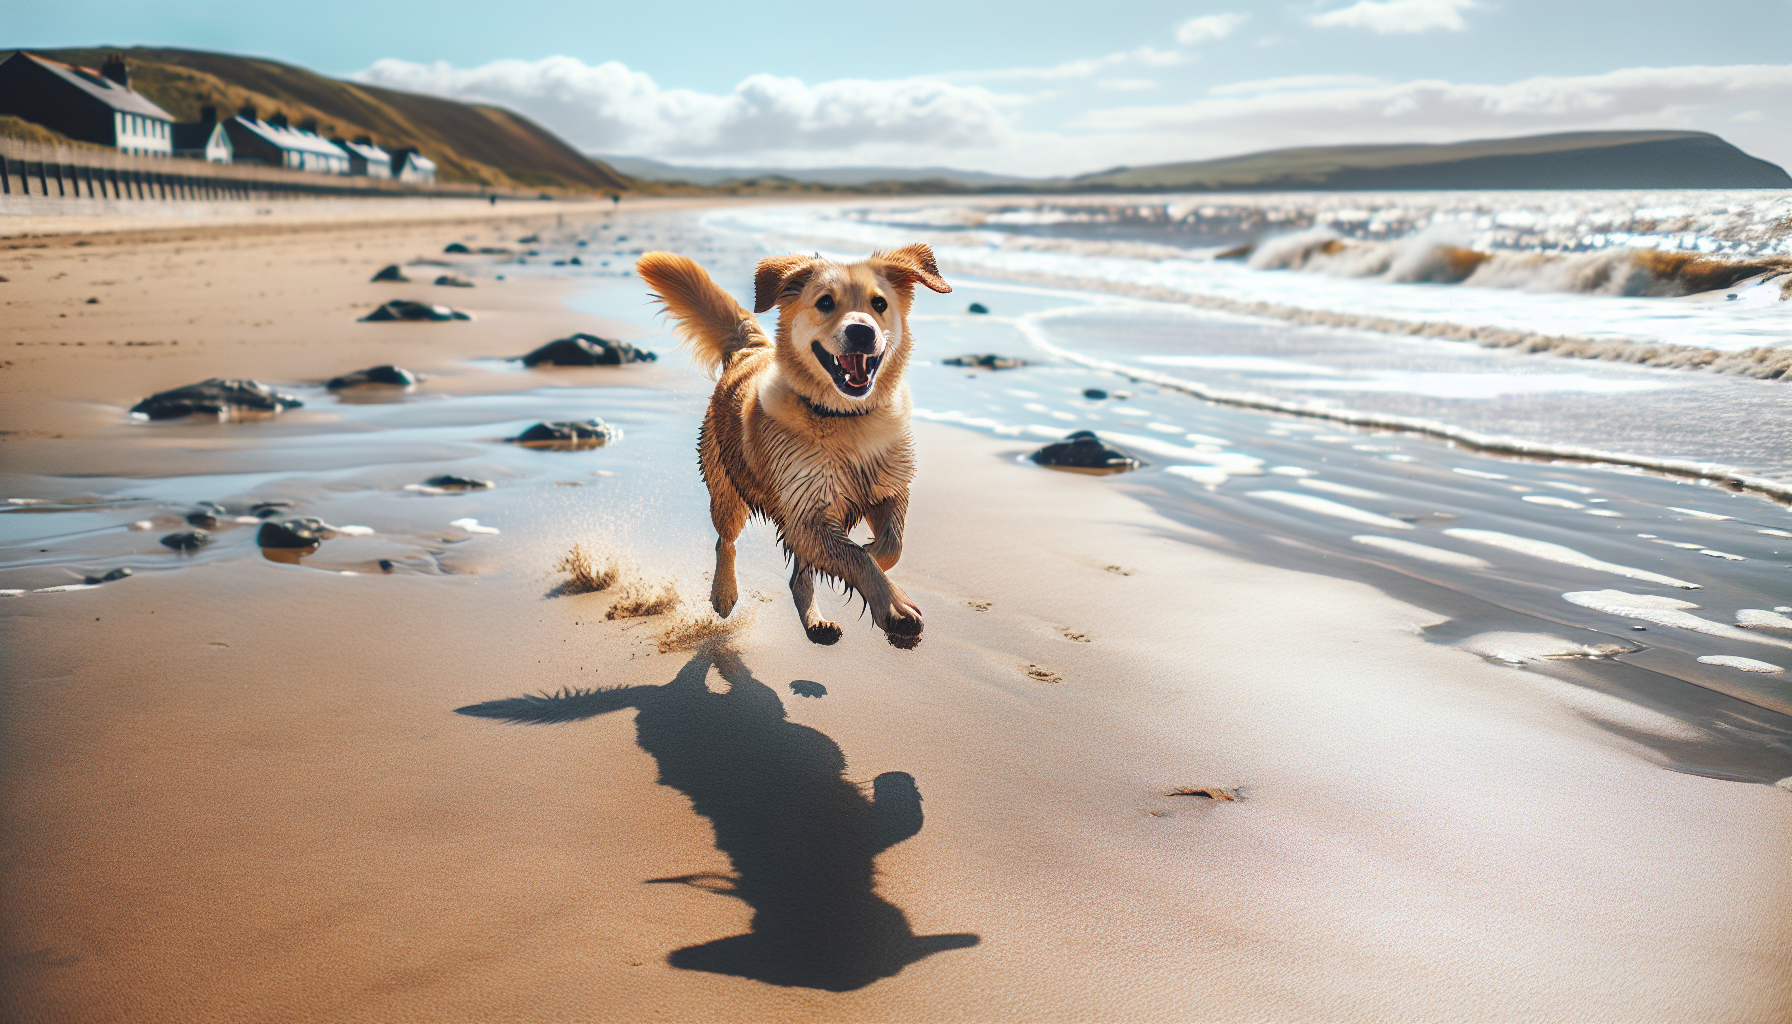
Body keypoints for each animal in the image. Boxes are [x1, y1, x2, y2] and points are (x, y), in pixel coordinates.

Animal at [634, 245, 946, 649]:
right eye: (825, 302)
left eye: (879, 303)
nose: (862, 333)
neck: (845, 418)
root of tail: (751, 350)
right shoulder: (806, 510)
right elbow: (859, 561)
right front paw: (895, 610)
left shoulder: (888, 489)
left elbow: (890, 547)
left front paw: (876, 559)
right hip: (727, 488)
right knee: (725, 541)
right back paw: (724, 593)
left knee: (799, 573)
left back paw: (816, 622)